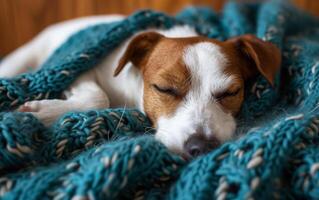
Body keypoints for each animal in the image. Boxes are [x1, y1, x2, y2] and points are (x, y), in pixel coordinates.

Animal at [0, 14, 280, 158]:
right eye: (164, 88)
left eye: (231, 92)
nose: (200, 146)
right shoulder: (82, 66)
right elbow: (98, 97)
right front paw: (43, 112)